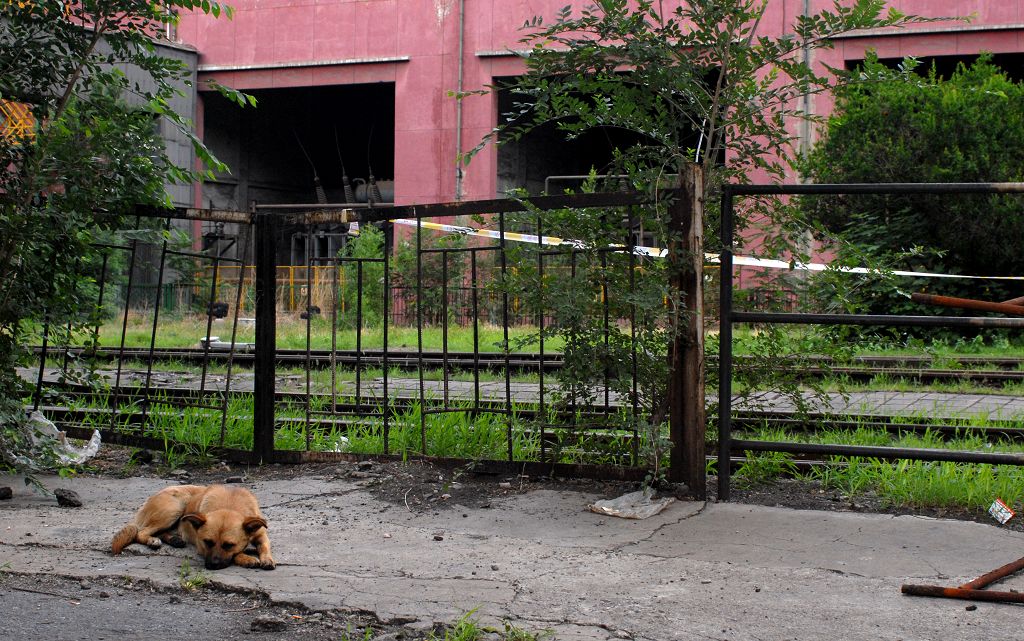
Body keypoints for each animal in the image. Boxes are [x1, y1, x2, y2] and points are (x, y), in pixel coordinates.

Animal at [111, 481, 274, 565]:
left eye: (229, 545)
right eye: (207, 542)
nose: (212, 565)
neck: (229, 505)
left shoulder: (261, 534)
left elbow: (264, 546)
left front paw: (267, 559)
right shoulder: (200, 546)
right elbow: (236, 554)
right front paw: (246, 558)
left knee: (161, 531)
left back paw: (174, 539)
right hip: (174, 508)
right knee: (141, 532)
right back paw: (152, 540)